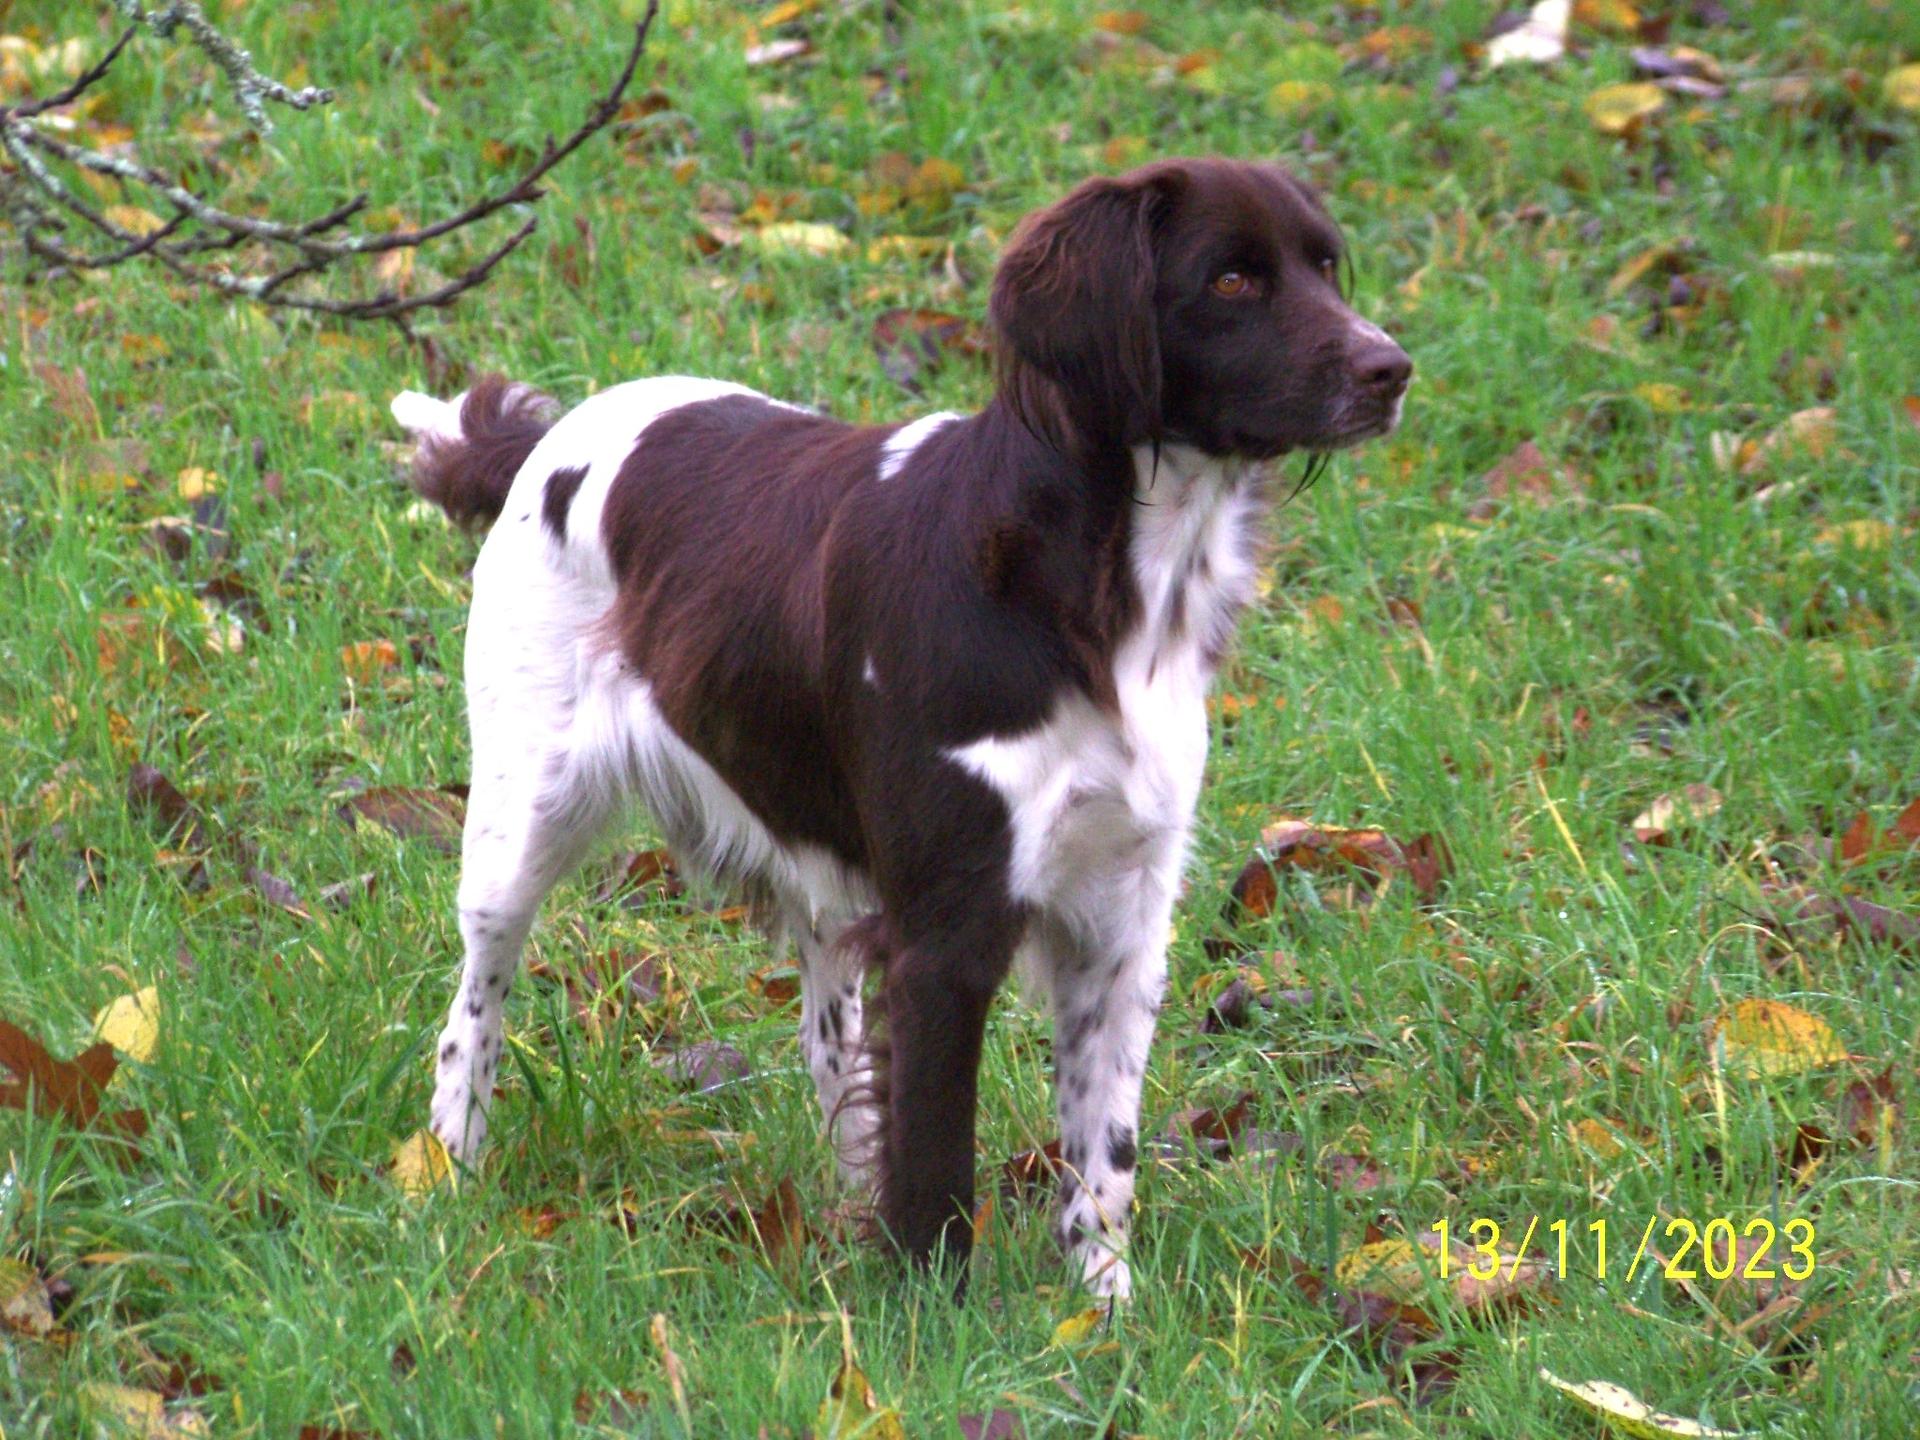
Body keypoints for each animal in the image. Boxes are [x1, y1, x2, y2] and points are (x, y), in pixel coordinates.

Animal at [389, 157, 1413, 1297]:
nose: (1392, 368)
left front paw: (1103, 1313)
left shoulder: (1123, 918)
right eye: (1232, 280)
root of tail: (546, 443)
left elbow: (1102, 1160)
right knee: (473, 1005)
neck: (1091, 589)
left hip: (820, 873)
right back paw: (449, 1177)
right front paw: (936, 1317)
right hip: (521, 822)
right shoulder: (946, 928)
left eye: (1324, 263)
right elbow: (933, 1164)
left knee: (830, 1046)